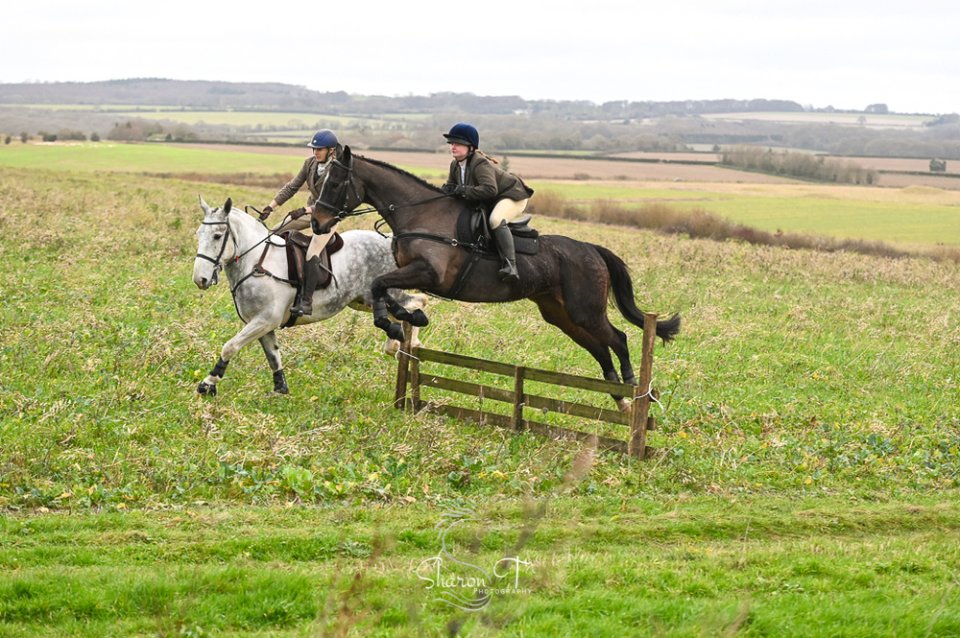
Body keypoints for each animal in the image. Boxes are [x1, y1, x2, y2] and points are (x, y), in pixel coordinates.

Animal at [192, 196, 425, 396]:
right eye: (198, 234)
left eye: (217, 236)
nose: (200, 279)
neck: (256, 262)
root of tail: (389, 240)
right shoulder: (262, 323)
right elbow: (273, 356)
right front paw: (280, 389)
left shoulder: (265, 320)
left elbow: (230, 347)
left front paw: (208, 383)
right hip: (363, 301)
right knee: (398, 314)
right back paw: (396, 343)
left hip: (388, 292)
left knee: (417, 303)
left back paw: (409, 343)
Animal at [309, 147, 680, 408]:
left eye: (336, 183)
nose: (318, 223)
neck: (421, 214)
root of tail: (592, 250)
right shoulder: (406, 273)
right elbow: (381, 288)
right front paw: (405, 320)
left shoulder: (431, 273)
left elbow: (380, 285)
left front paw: (401, 323)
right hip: (560, 314)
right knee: (600, 349)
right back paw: (619, 398)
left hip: (584, 310)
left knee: (618, 338)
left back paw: (631, 385)